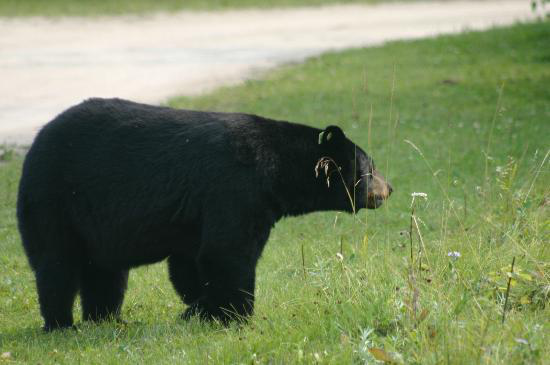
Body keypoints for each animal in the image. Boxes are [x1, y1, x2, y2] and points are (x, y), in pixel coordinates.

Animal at [16, 96, 392, 330]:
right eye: (370, 169)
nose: (389, 188)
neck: (275, 169)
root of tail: (35, 142)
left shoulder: (198, 214)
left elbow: (190, 262)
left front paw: (200, 310)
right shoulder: (235, 189)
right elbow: (227, 252)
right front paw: (237, 316)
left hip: (94, 224)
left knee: (106, 273)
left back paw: (108, 319)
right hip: (55, 200)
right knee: (57, 264)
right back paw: (61, 324)